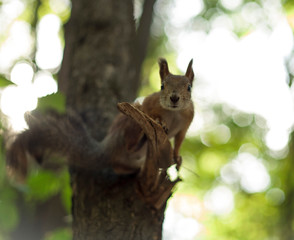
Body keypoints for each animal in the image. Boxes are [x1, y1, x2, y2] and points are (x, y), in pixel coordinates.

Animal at [5, 58, 194, 180]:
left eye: (189, 87)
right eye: (162, 86)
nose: (174, 98)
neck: (174, 113)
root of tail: (107, 149)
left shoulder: (186, 122)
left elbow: (179, 140)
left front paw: (177, 158)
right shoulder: (150, 102)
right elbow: (150, 111)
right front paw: (160, 121)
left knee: (120, 166)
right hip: (125, 127)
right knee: (129, 143)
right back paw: (138, 138)